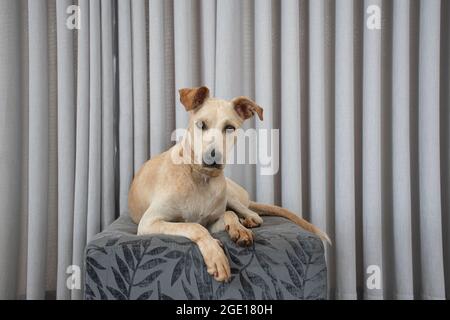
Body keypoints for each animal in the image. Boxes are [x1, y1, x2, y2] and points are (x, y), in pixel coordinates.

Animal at [127, 86, 330, 282]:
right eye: (201, 124)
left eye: (230, 128)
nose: (213, 156)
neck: (201, 178)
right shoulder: (149, 222)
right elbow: (195, 226)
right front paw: (216, 256)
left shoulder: (212, 219)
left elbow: (225, 215)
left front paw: (238, 230)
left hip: (231, 195)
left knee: (252, 214)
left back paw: (247, 222)